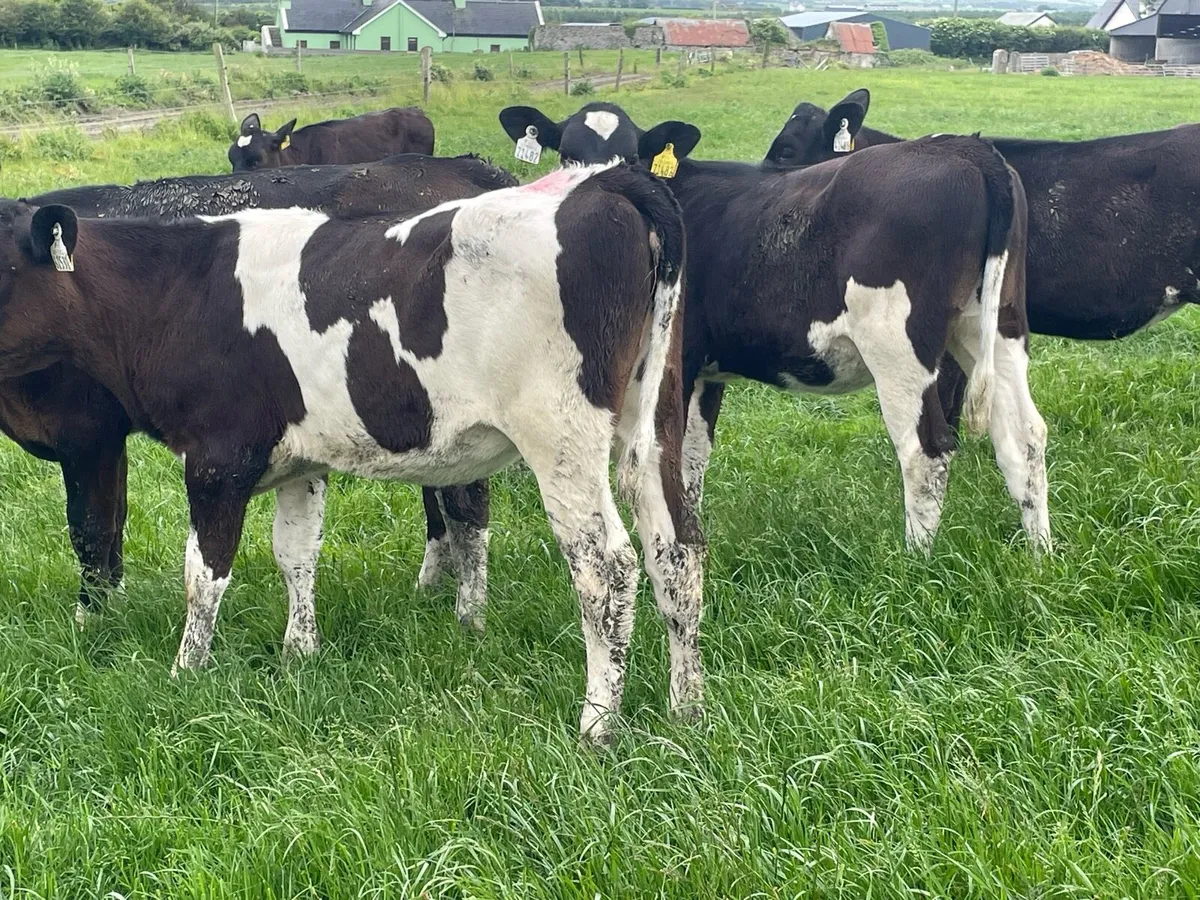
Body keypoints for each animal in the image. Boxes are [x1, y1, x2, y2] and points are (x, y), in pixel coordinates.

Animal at [11, 154, 516, 625]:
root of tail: (467, 166)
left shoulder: (86, 431)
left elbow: (91, 527)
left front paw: (90, 622)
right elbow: (113, 525)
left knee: (461, 504)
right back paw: (430, 588)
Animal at [439, 102, 1047, 625]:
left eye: (634, 154)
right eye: (567, 151)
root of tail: (966, 149)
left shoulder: (674, 364)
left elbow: (668, 461)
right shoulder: (704, 372)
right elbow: (692, 461)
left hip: (900, 344)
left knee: (926, 449)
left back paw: (915, 561)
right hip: (996, 327)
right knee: (1023, 433)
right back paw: (1039, 549)